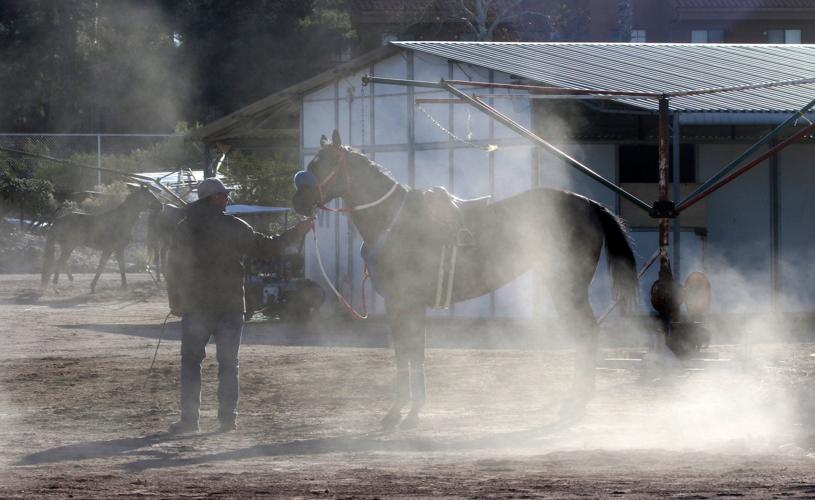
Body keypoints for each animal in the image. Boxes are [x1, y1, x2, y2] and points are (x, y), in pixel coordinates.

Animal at [292, 131, 639, 429]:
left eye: (325, 164)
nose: (298, 201)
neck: (395, 221)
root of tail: (588, 204)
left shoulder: (406, 303)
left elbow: (411, 352)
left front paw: (408, 411)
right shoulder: (400, 306)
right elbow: (406, 353)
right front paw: (404, 409)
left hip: (567, 286)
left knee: (586, 334)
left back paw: (575, 402)